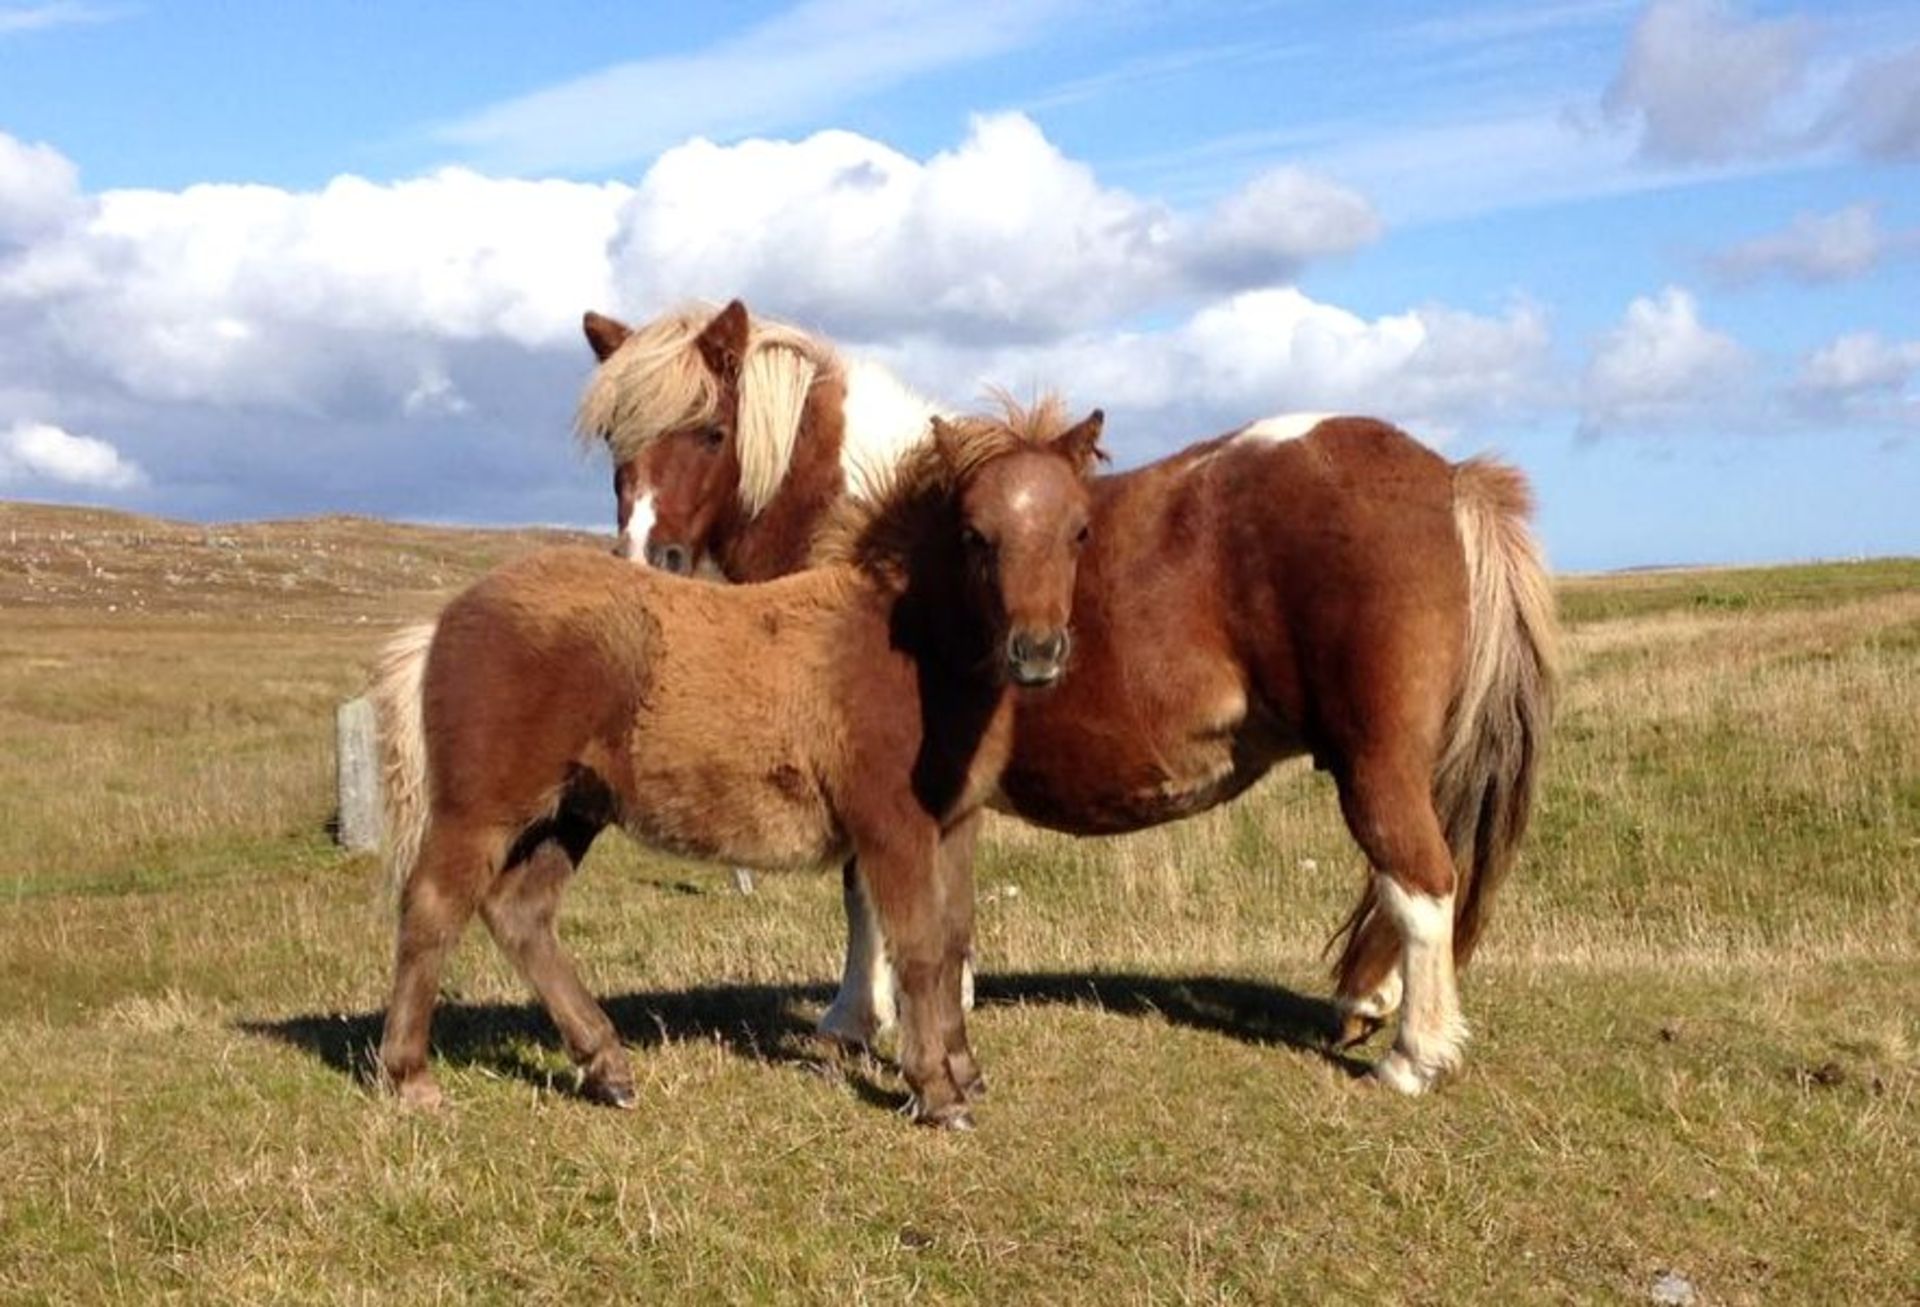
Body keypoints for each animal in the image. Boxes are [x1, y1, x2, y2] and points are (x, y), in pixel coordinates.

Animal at [576, 301, 1551, 1097]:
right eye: (615, 439)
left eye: (709, 431)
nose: (647, 560)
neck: (870, 529)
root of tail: (1449, 474)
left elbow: (865, 897)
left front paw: (855, 1021)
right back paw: (1368, 1006)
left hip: (1374, 758)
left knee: (1420, 881)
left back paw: (1412, 1057)